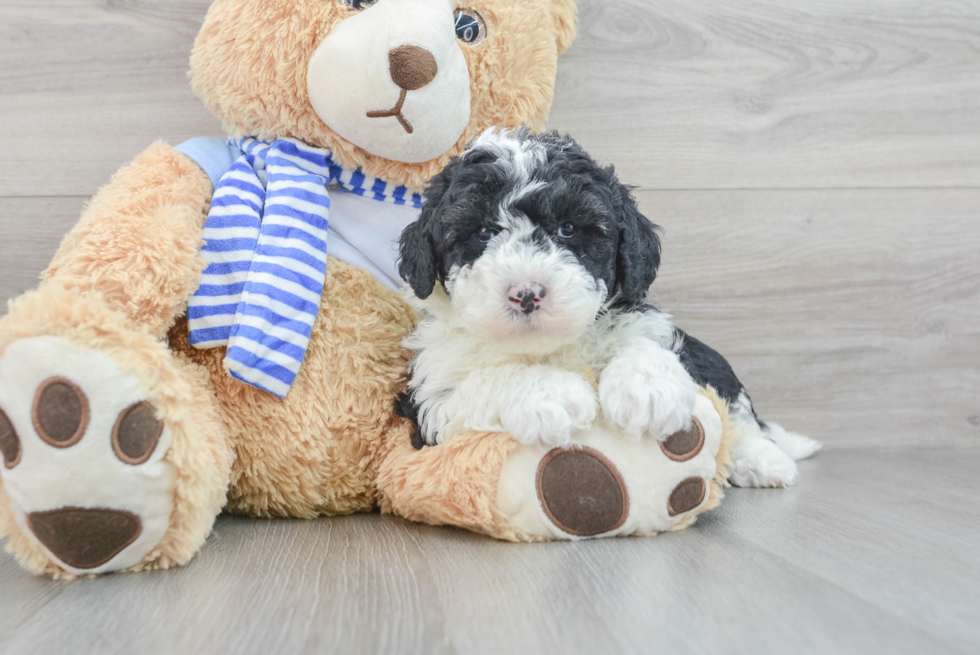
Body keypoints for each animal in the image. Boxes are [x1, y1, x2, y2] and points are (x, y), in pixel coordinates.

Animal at [396, 128, 820, 486]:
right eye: (482, 233)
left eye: (568, 229)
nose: (527, 293)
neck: (548, 349)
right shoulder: (429, 403)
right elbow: (483, 382)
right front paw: (552, 393)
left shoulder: (646, 323)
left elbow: (645, 340)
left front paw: (647, 387)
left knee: (737, 407)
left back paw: (763, 459)